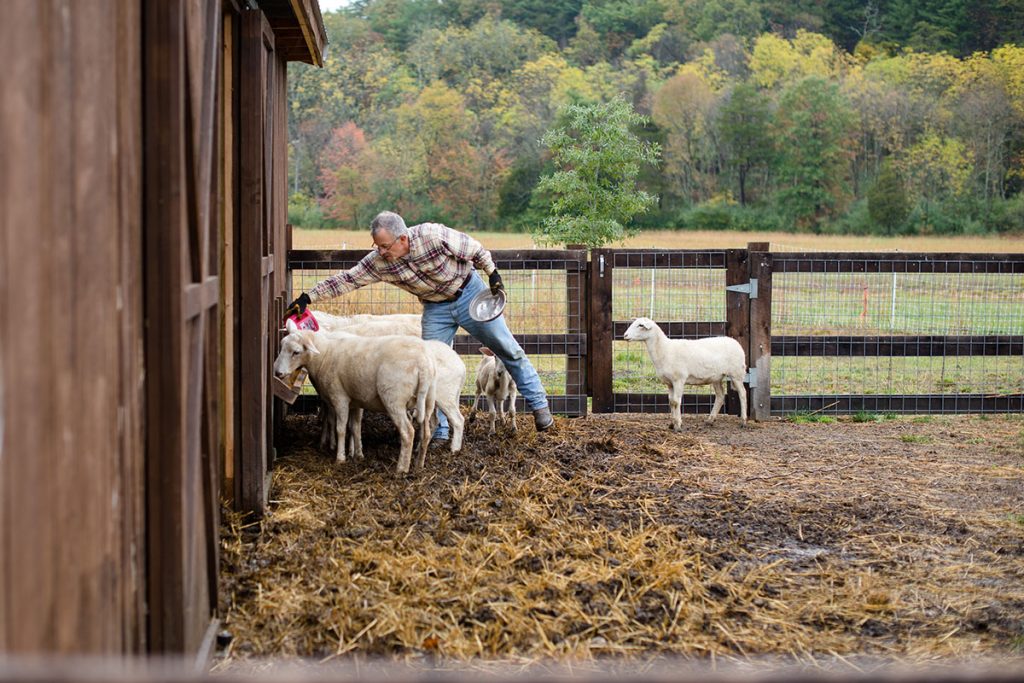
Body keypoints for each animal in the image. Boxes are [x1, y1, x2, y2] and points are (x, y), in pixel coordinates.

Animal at [274, 317, 434, 473]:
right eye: (282, 346)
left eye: (296, 352)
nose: (277, 372)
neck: (324, 355)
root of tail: (423, 365)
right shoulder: (357, 399)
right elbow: (355, 428)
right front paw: (358, 454)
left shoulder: (339, 397)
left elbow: (341, 428)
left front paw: (340, 458)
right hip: (427, 401)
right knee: (426, 433)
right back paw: (419, 464)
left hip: (394, 399)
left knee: (408, 433)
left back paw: (401, 469)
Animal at [618, 317, 749, 430]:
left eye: (640, 325)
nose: (625, 335)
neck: (664, 349)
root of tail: (735, 342)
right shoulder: (669, 383)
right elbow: (671, 401)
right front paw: (672, 424)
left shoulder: (679, 380)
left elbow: (676, 401)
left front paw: (678, 425)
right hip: (716, 377)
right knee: (720, 396)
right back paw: (710, 420)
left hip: (736, 373)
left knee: (742, 393)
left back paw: (743, 421)